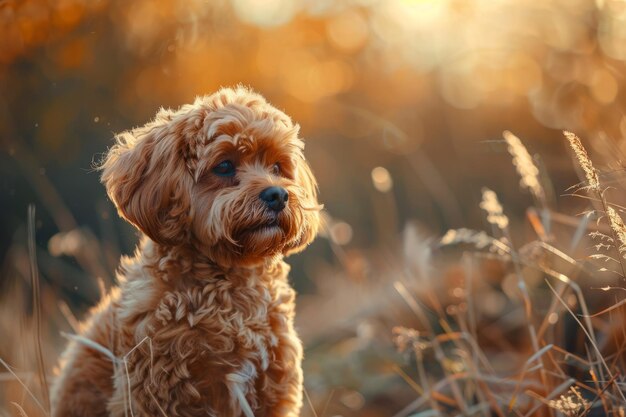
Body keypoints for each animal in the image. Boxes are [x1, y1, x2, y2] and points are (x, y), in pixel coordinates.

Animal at [50, 86, 320, 414]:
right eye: (224, 166)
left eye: (278, 167)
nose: (277, 195)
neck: (229, 285)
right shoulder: (152, 392)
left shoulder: (273, 390)